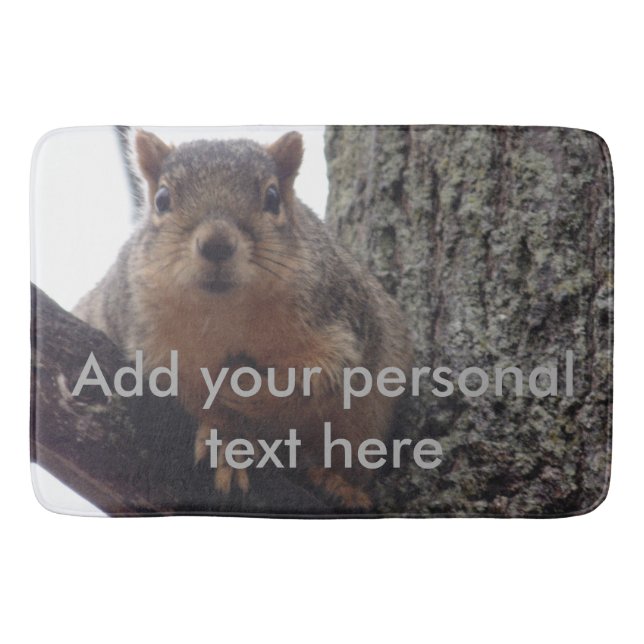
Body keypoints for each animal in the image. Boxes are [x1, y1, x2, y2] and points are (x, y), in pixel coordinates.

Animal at [73, 129, 412, 509]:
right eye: (161, 199)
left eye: (273, 197)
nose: (217, 244)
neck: (226, 311)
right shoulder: (151, 340)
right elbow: (189, 395)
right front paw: (227, 439)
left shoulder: (340, 321)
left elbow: (319, 377)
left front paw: (246, 386)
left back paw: (334, 481)